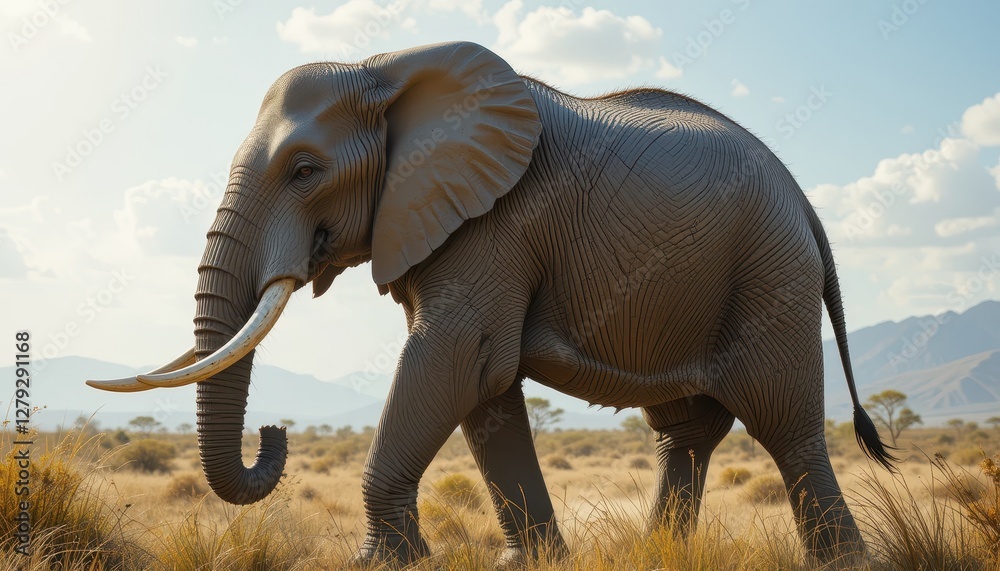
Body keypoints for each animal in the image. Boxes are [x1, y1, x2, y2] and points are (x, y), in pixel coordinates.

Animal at [88, 41, 895, 566]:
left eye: (305, 170)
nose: (274, 431)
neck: (388, 68)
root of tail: (805, 201)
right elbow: (487, 388)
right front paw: (531, 563)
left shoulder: (497, 223)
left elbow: (458, 359)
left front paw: (384, 563)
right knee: (687, 430)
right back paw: (658, 551)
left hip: (769, 272)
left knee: (783, 421)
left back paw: (839, 562)